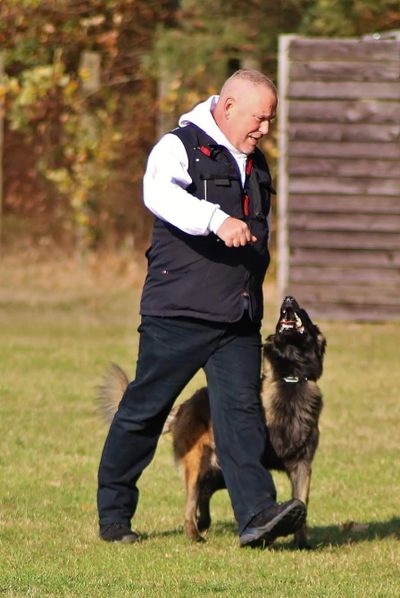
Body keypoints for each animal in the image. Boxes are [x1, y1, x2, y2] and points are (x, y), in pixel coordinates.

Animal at [98, 296, 326, 549]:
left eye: (304, 312)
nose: (288, 299)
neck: (289, 379)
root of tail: (185, 405)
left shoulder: (302, 465)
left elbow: (302, 502)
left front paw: (301, 540)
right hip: (198, 464)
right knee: (191, 501)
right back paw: (194, 533)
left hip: (217, 473)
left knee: (204, 494)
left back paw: (204, 522)